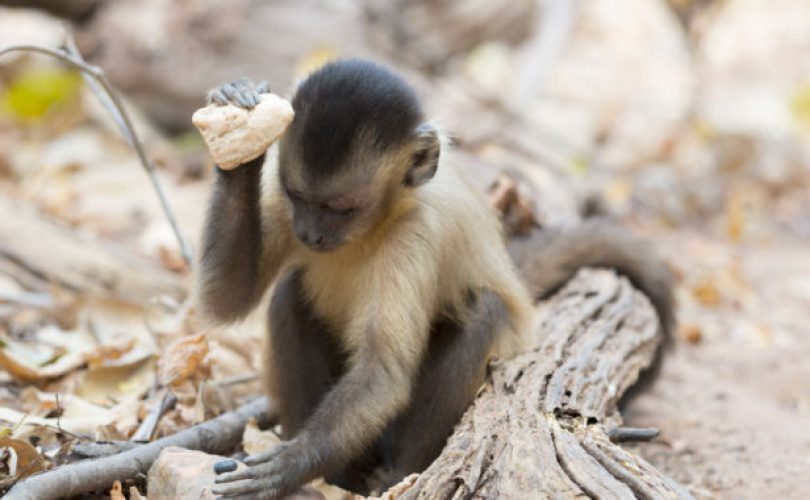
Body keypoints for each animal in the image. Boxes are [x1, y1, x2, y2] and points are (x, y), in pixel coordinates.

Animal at [197, 59, 676, 500]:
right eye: (299, 197)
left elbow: (383, 374)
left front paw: (289, 466)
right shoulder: (283, 205)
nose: (310, 234)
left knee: (484, 309)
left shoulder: (415, 235)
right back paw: (338, 478)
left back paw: (397, 474)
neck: (380, 222)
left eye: (341, 209)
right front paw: (239, 133)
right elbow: (227, 299)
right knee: (290, 294)